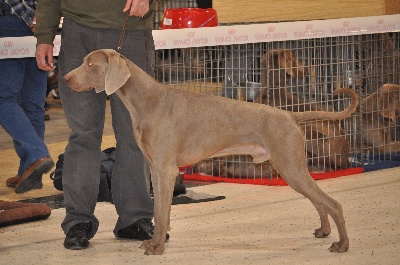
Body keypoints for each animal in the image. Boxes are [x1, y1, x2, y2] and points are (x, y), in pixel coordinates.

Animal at [64, 49, 358, 254]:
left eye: (90, 64)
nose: (65, 78)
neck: (147, 101)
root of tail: (289, 115)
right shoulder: (157, 171)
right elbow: (160, 212)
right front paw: (155, 242)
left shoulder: (166, 170)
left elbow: (162, 213)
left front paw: (157, 248)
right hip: (291, 168)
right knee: (319, 202)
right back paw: (324, 231)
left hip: (290, 165)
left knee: (333, 203)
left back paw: (342, 245)